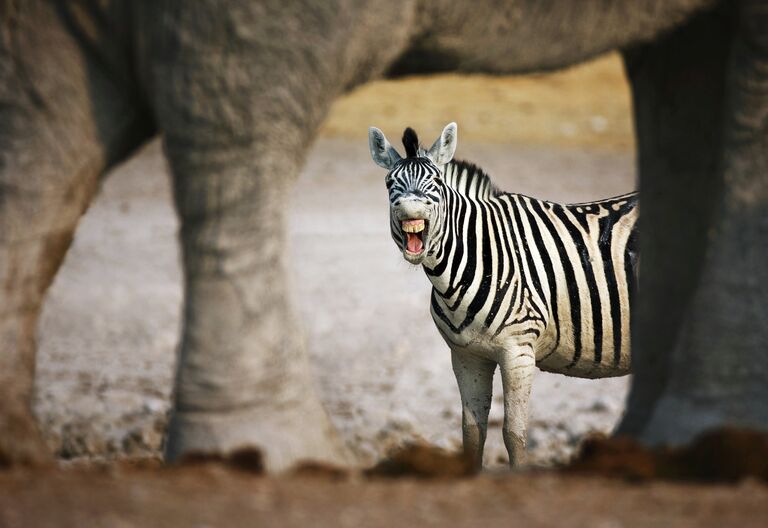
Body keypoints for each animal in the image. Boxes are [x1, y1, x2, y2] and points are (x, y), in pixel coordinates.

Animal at [366, 122, 636, 466]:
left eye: (436, 183)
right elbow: (471, 434)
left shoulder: (519, 352)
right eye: (390, 183)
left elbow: (514, 435)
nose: (410, 209)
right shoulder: (466, 356)